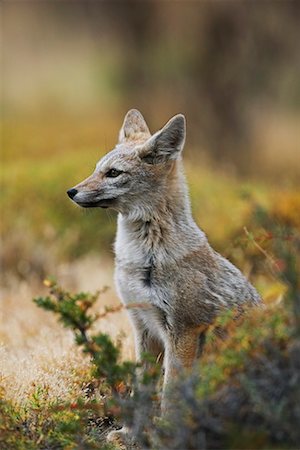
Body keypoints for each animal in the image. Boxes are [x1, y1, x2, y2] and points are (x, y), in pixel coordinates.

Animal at [67, 110, 262, 440]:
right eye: (96, 169)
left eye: (113, 173)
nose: (71, 191)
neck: (144, 256)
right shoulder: (143, 326)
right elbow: (141, 391)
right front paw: (131, 434)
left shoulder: (183, 331)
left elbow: (170, 393)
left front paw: (167, 434)